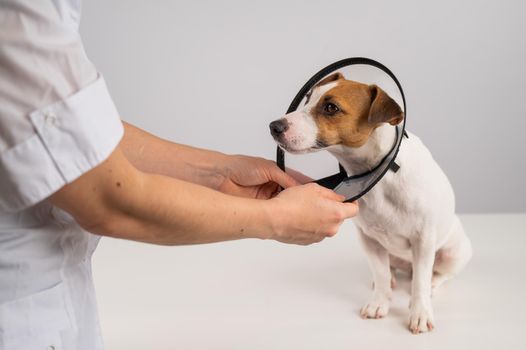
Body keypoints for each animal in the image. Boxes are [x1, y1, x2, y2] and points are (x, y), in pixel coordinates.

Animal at [270, 72, 472, 334]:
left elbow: (420, 282)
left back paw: (433, 284)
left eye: (331, 107)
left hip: (454, 252)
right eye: (307, 99)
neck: (379, 172)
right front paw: (379, 302)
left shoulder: (424, 239)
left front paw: (420, 312)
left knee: (436, 274)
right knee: (390, 269)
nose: (274, 126)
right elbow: (381, 272)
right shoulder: (369, 239)